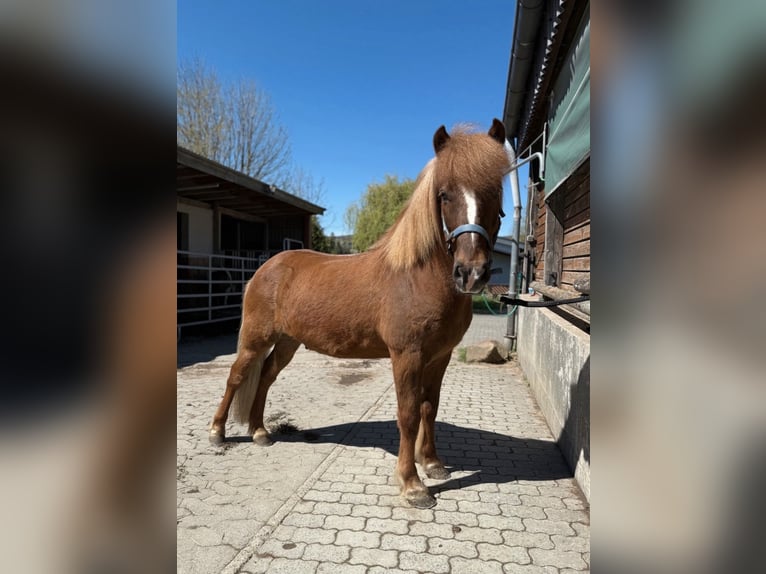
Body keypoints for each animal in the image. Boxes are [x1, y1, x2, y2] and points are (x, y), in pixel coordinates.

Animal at [209, 119, 511, 508]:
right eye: (444, 194)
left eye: (495, 191)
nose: (471, 272)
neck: (416, 277)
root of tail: (267, 267)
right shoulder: (407, 356)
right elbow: (408, 414)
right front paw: (412, 484)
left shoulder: (439, 357)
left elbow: (430, 407)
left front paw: (432, 464)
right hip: (255, 339)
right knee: (236, 376)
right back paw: (217, 432)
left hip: (288, 342)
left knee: (265, 377)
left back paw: (260, 432)